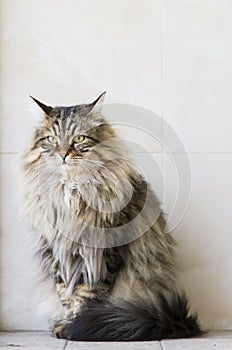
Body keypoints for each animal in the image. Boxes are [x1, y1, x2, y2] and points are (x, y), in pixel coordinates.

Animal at [22, 92, 203, 340]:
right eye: (51, 139)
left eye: (79, 139)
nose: (63, 155)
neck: (70, 190)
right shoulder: (57, 251)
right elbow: (66, 294)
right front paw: (65, 323)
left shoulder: (103, 252)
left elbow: (88, 296)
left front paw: (76, 326)